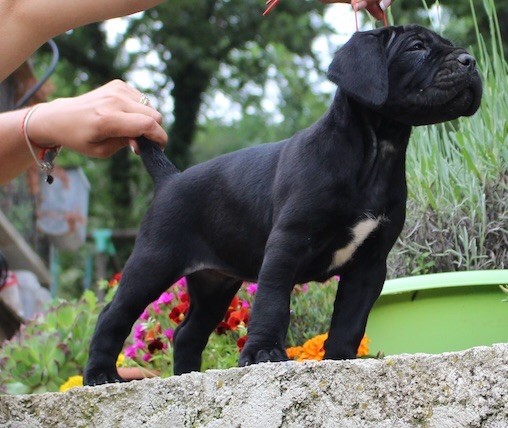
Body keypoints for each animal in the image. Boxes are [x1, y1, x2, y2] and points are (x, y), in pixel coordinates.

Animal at [83, 24, 480, 384]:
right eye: (417, 47)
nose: (470, 61)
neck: (378, 152)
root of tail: (171, 179)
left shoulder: (370, 262)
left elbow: (351, 316)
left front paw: (341, 358)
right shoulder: (288, 242)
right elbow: (273, 301)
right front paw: (263, 353)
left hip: (215, 284)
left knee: (187, 333)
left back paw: (187, 377)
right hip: (153, 262)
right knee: (113, 315)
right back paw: (101, 375)